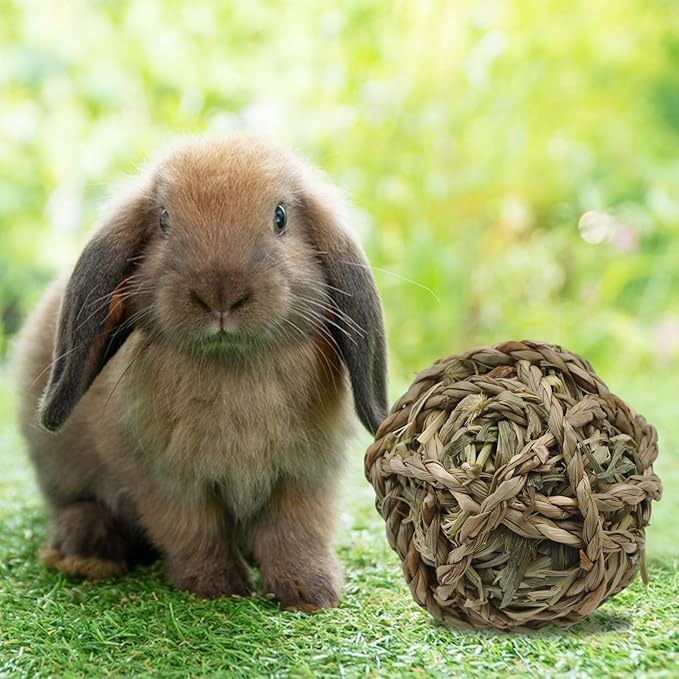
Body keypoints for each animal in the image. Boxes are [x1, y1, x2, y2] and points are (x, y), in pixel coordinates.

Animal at [15, 134, 388, 610]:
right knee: (78, 506)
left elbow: (295, 533)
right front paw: (216, 588)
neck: (232, 365)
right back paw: (85, 554)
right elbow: (195, 532)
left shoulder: (304, 477)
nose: (220, 294)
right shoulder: (170, 481)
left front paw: (311, 593)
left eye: (280, 216)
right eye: (163, 220)